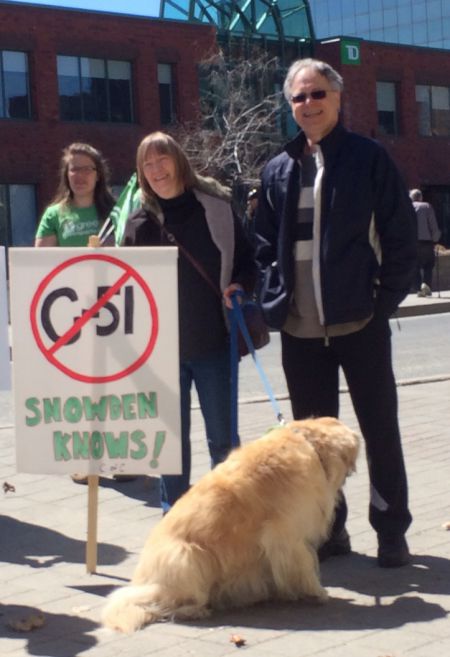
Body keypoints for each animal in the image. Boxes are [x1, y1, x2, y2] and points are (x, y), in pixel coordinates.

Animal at [102, 418, 358, 632]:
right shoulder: (288, 535)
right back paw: (194, 610)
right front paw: (316, 592)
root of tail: (144, 583)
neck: (309, 445)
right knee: (164, 604)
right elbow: (304, 566)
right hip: (189, 557)